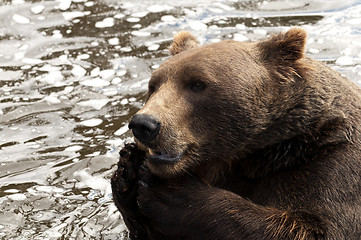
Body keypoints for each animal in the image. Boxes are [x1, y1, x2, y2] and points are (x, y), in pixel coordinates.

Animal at [110, 28, 360, 240]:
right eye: (153, 85)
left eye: (197, 83)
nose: (144, 124)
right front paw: (128, 169)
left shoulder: (332, 167)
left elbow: (317, 228)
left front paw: (170, 191)